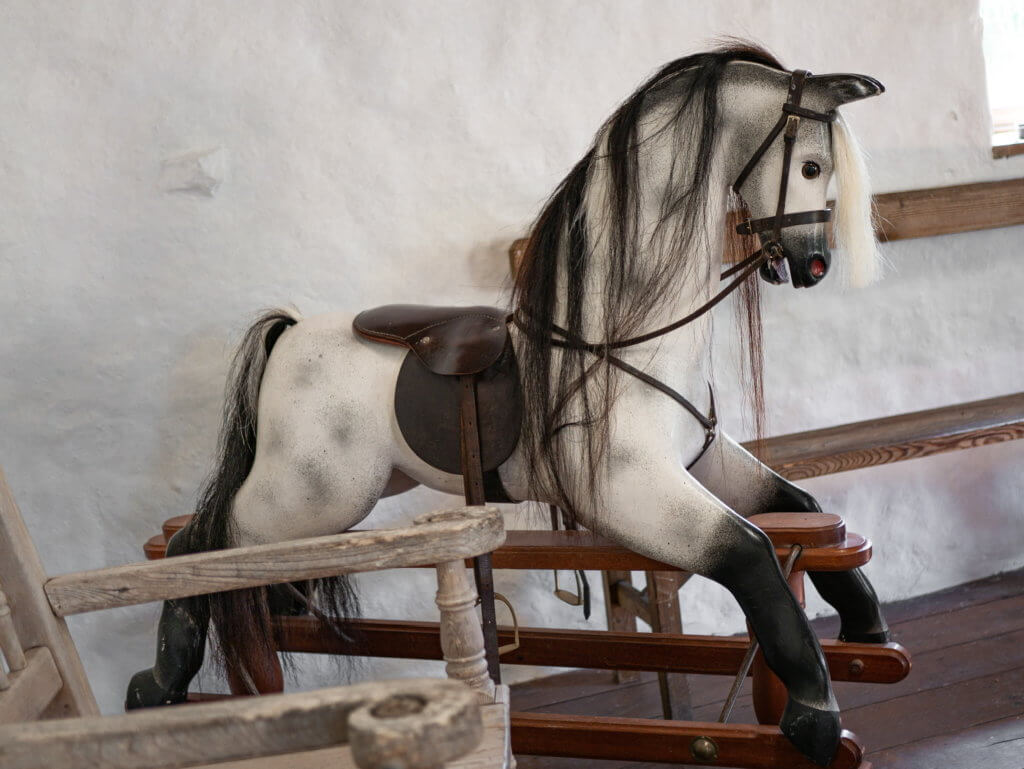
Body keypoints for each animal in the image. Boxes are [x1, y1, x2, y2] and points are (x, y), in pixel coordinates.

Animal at [127, 44, 889, 766]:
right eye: (813, 165)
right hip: (308, 495)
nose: (813, 263)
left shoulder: (703, 463)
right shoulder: (631, 495)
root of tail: (288, 336)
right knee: (198, 545)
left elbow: (804, 508)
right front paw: (814, 713)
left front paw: (865, 625)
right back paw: (157, 684)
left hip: (343, 495)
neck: (624, 336)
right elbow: (752, 553)